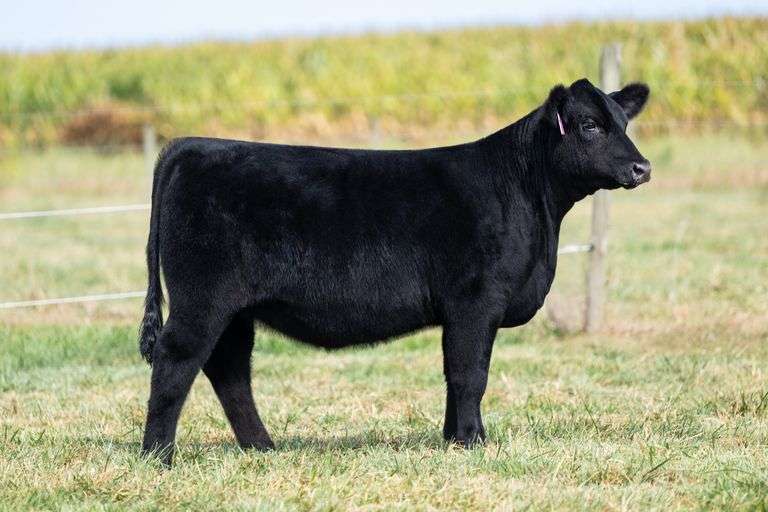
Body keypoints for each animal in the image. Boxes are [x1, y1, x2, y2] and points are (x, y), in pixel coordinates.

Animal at [139, 78, 651, 465]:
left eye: (625, 123)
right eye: (589, 125)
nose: (642, 167)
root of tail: (190, 146)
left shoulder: (461, 310)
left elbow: (453, 373)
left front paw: (453, 439)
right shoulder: (475, 300)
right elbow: (471, 373)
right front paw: (473, 441)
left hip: (236, 309)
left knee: (229, 370)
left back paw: (262, 447)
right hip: (202, 299)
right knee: (177, 360)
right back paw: (158, 455)